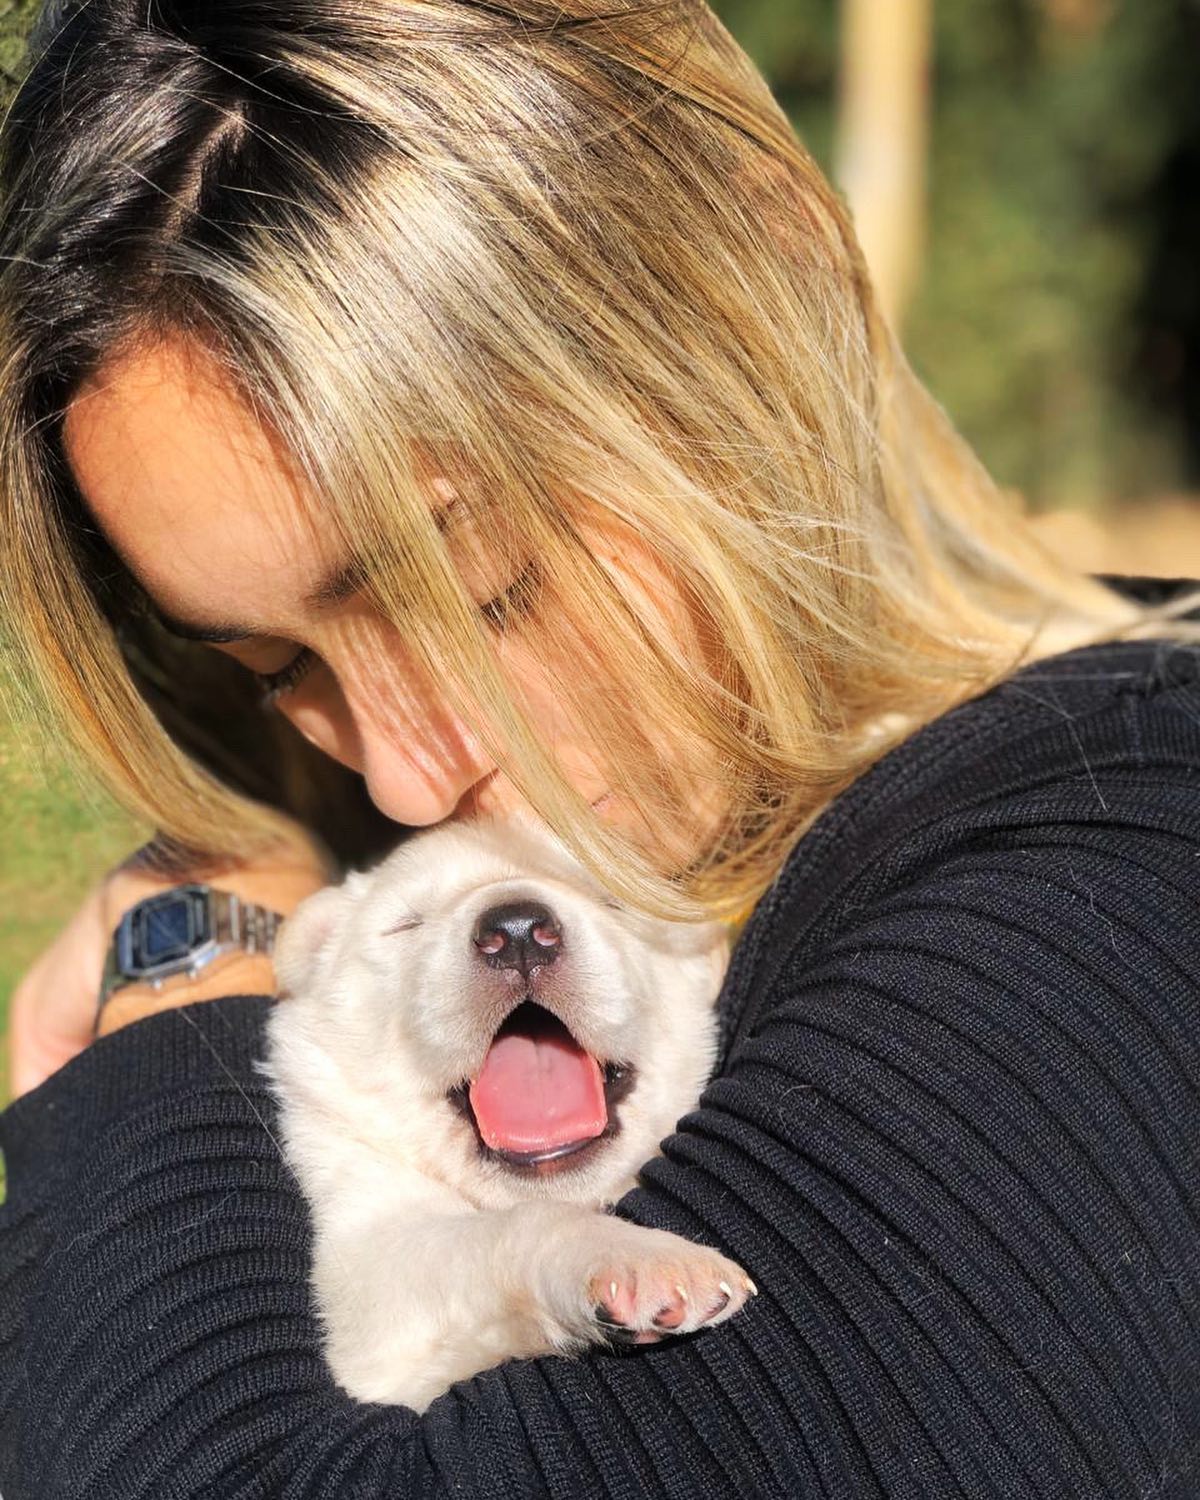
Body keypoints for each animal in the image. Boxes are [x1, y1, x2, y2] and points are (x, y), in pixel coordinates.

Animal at [258, 806, 757, 1412]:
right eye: (406, 925)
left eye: (609, 899)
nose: (517, 931)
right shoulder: (367, 1272)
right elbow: (513, 1227)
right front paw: (645, 1258)